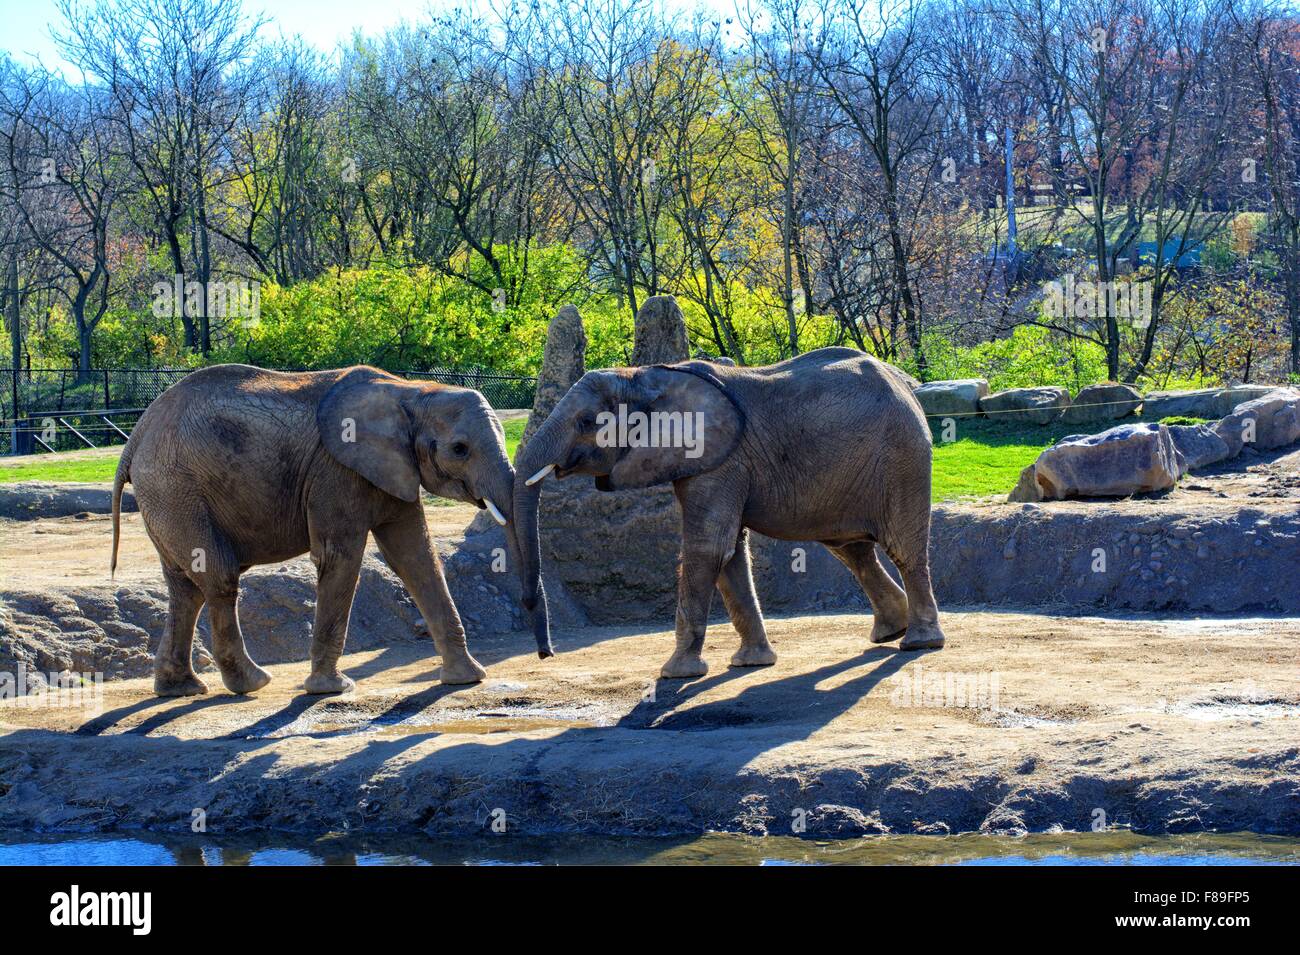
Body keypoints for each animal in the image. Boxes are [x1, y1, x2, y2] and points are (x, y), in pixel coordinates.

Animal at [111, 363, 549, 697]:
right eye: (460, 449)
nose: (545, 655)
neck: (411, 393)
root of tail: (135, 439)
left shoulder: (392, 470)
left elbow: (415, 556)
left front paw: (467, 678)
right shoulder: (335, 471)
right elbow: (342, 557)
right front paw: (330, 689)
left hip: (168, 496)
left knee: (186, 588)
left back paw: (180, 689)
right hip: (175, 488)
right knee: (217, 579)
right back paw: (252, 683)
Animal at [513, 347, 946, 679]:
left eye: (587, 421)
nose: (546, 654)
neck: (644, 376)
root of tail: (905, 383)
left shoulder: (721, 461)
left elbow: (708, 549)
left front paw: (675, 673)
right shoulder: (709, 463)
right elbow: (729, 554)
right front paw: (750, 664)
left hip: (902, 456)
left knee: (902, 548)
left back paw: (919, 642)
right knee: (851, 549)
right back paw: (888, 632)